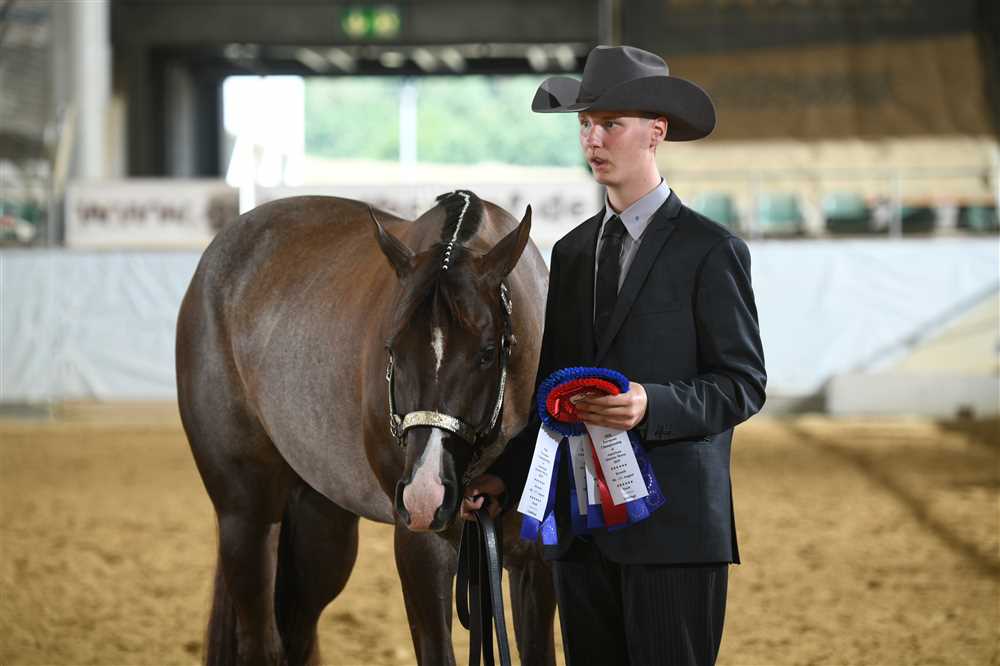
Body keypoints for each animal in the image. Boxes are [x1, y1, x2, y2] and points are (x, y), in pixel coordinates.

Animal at [175, 191, 556, 665]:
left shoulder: (534, 559)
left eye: (487, 352)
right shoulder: (420, 548)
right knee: (260, 641)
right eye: (392, 349)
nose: (426, 494)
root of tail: (213, 261)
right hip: (245, 517)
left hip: (319, 530)